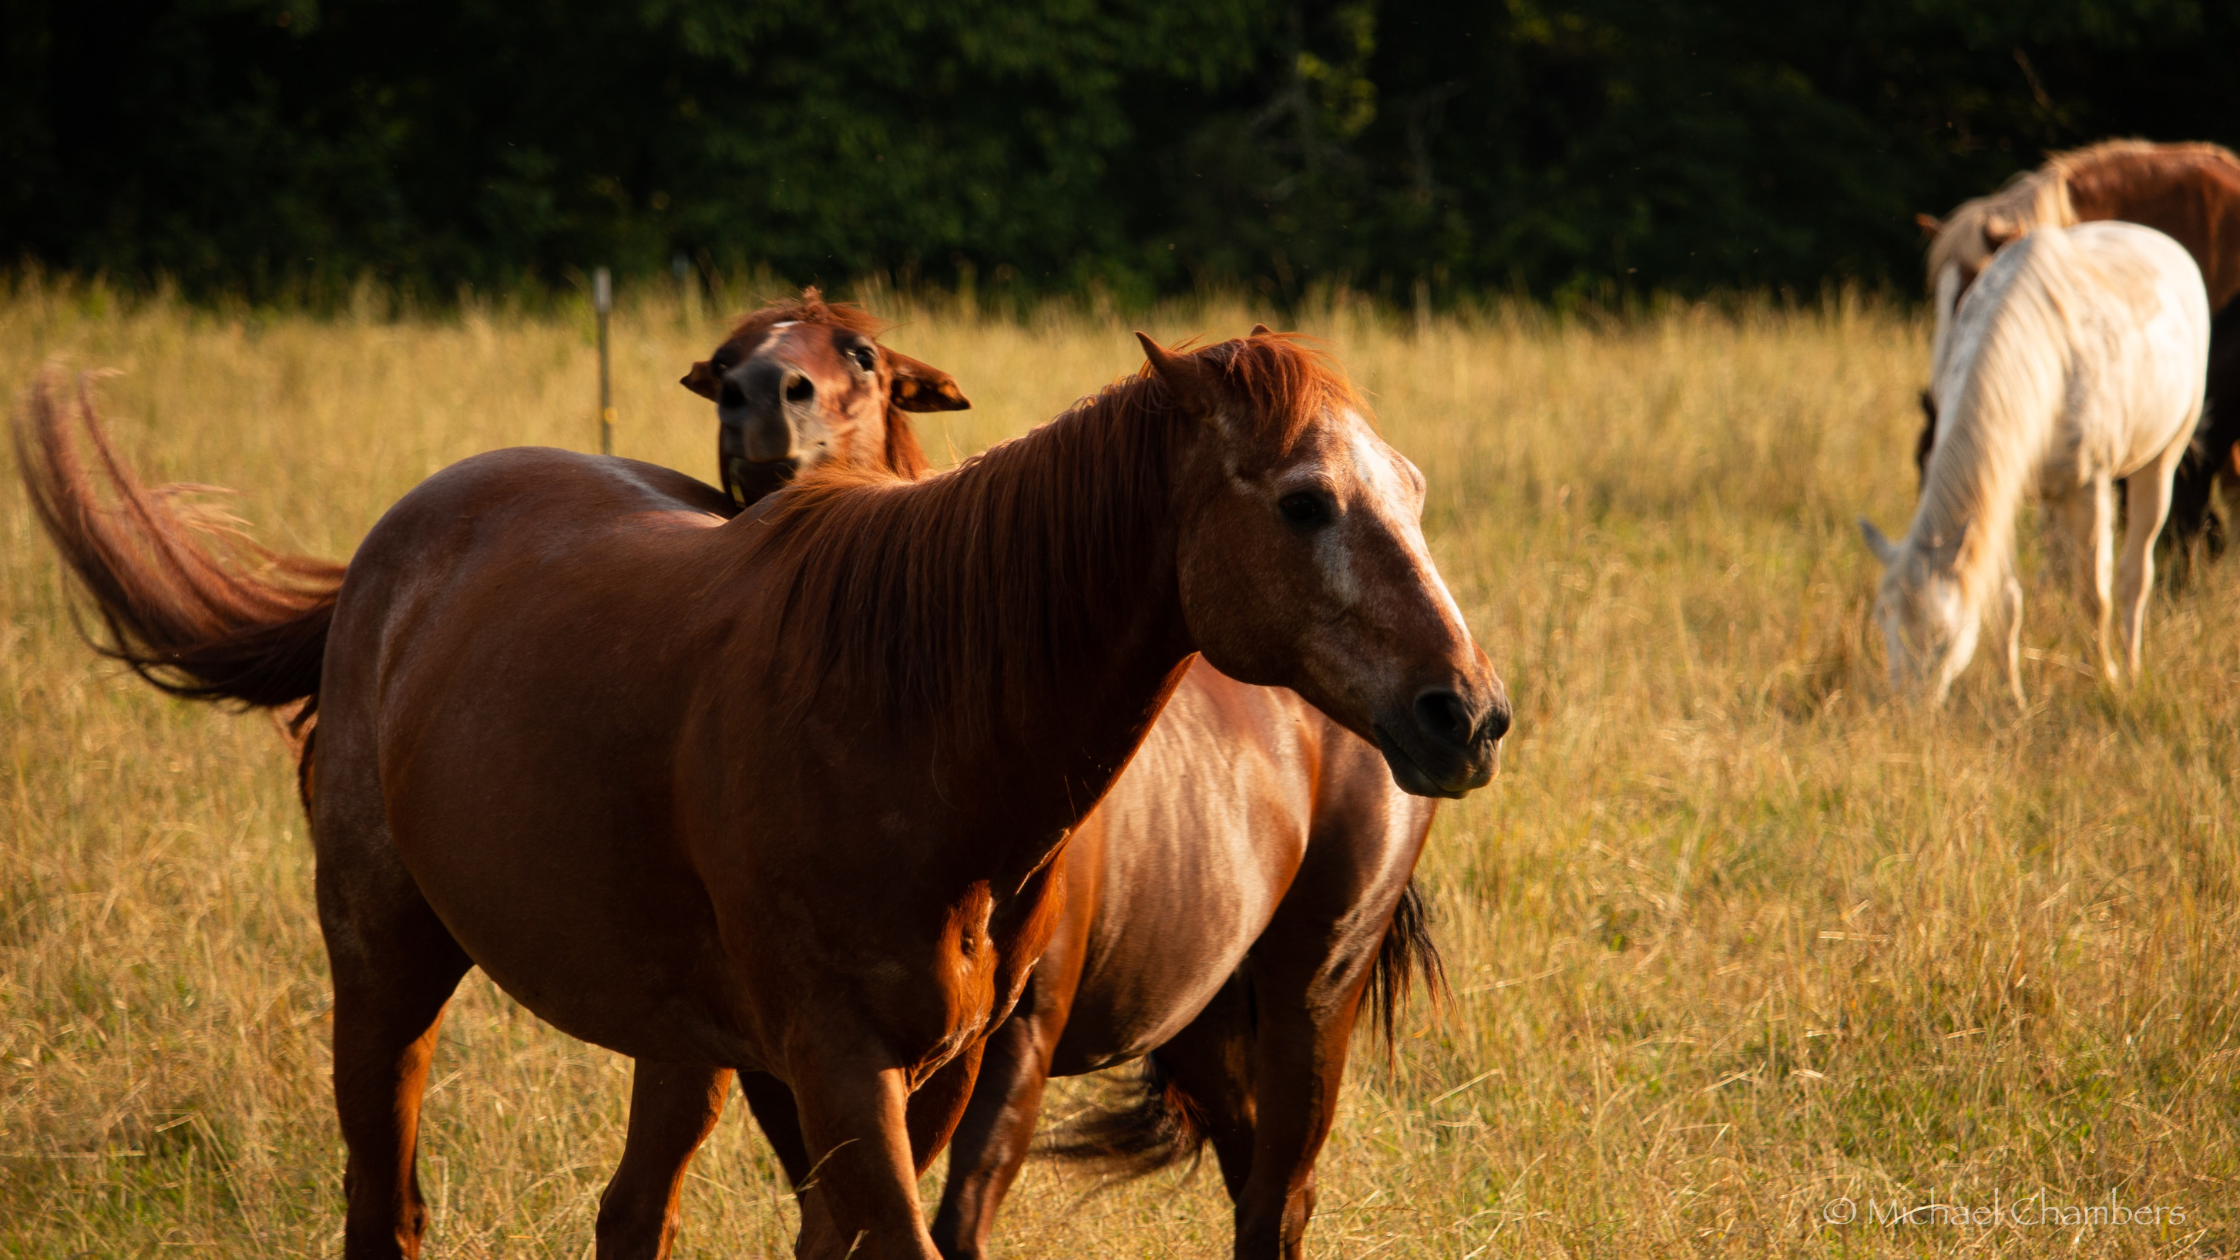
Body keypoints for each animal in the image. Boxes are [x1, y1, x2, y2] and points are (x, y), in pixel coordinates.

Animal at [672, 316, 1442, 1255]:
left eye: (860, 358)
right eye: (725, 364)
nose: (758, 400)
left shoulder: (1019, 1034)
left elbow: (957, 1215)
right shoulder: (801, 1051)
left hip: (1317, 982)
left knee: (1280, 1191)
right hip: (1205, 1014)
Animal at [1863, 220, 2213, 699]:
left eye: (1943, 638)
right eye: (1883, 622)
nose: (1905, 708)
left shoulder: (2088, 490)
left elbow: (2093, 596)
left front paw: (2106, 679)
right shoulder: (2001, 494)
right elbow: (2006, 602)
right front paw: (2013, 697)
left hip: (2160, 463)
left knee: (2133, 575)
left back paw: (2128, 668)